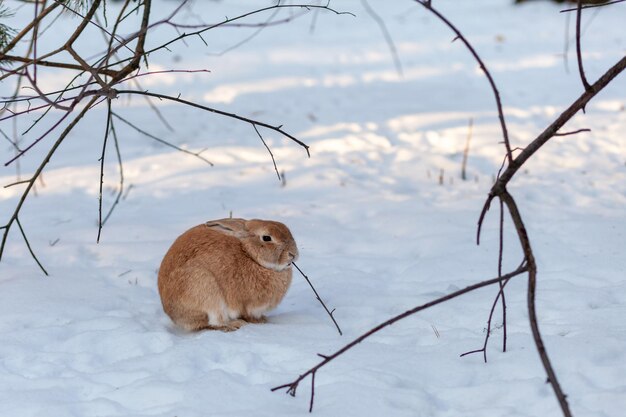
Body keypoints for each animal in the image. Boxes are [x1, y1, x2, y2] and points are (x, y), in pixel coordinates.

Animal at [158, 218, 300, 332]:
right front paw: (259, 321)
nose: (293, 254)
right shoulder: (246, 305)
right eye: (266, 238)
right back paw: (234, 324)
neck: (250, 254)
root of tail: (174, 315)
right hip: (205, 289)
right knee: (215, 321)